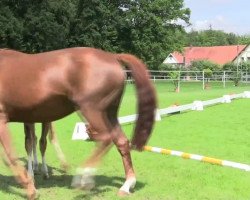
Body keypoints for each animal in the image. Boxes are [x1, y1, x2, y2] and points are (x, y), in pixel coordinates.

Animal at [0, 47, 156, 199]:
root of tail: (112, 57)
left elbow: (10, 157)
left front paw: (31, 190)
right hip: (109, 114)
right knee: (121, 142)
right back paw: (126, 185)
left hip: (90, 110)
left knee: (106, 138)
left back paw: (83, 178)